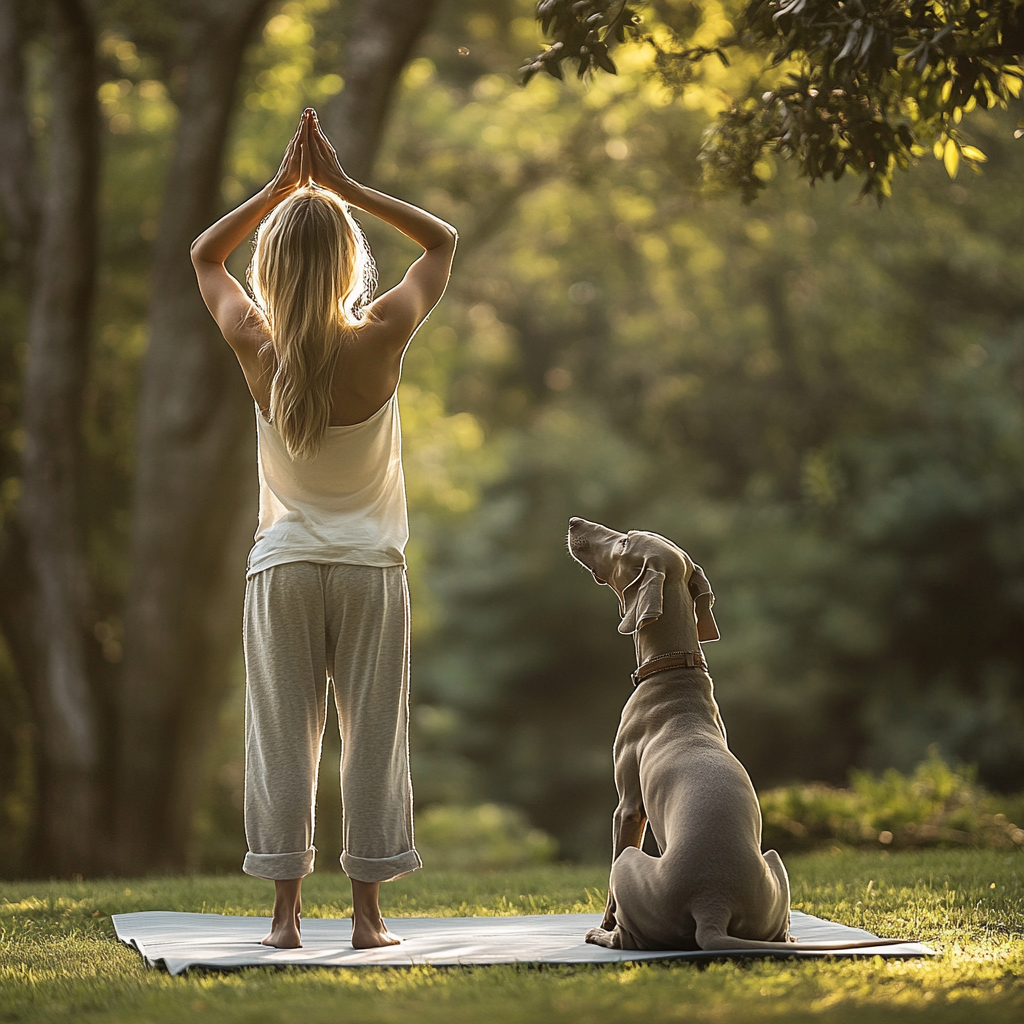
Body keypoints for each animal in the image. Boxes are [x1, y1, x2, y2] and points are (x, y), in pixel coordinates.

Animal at [569, 520, 897, 950]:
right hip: (774, 863)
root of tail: (712, 905)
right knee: (780, 931)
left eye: (624, 542)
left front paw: (602, 923)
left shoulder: (628, 807)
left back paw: (601, 935)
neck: (674, 670)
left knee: (628, 932)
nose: (574, 523)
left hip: (630, 864)